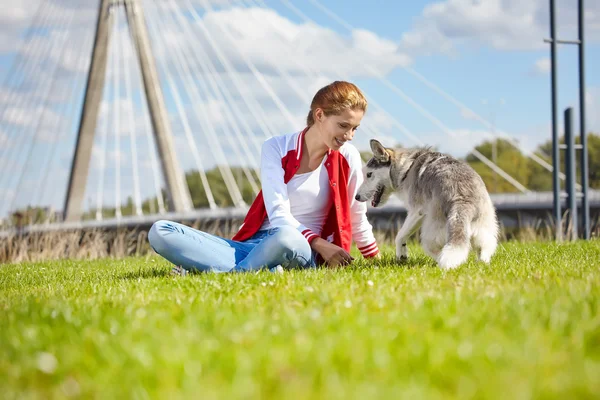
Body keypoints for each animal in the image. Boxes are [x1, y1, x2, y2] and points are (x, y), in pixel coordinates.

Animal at [354, 140, 500, 268]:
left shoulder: (416, 212)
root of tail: (462, 198)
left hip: (429, 235)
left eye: (369, 174)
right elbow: (403, 235)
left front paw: (401, 255)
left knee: (436, 252)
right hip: (483, 230)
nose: (356, 196)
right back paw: (481, 263)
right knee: (485, 249)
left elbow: (399, 235)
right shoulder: (420, 215)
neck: (406, 168)